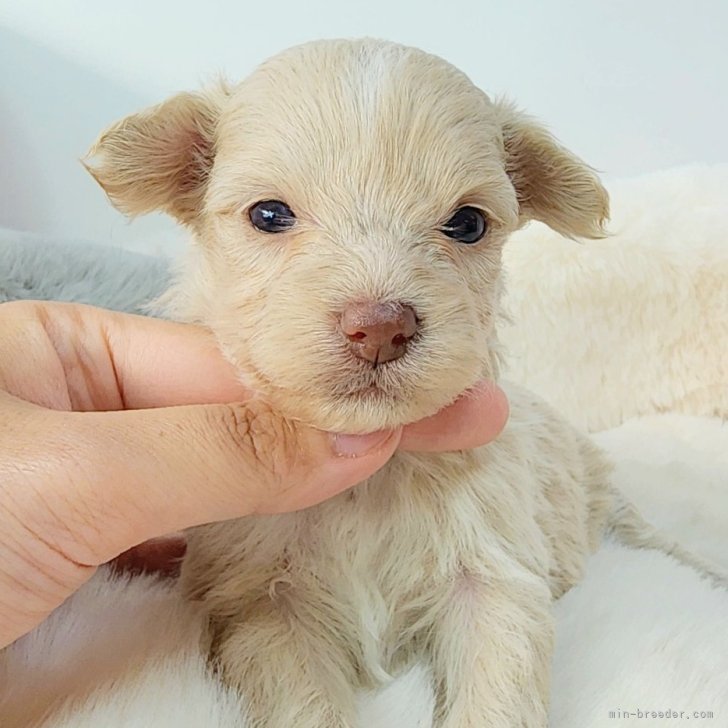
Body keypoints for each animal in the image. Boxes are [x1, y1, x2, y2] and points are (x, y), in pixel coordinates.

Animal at [88, 38, 616, 728]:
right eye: (269, 214)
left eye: (468, 224)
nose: (381, 327)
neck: (372, 482)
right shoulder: (264, 603)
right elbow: (300, 697)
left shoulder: (492, 576)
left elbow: (496, 684)